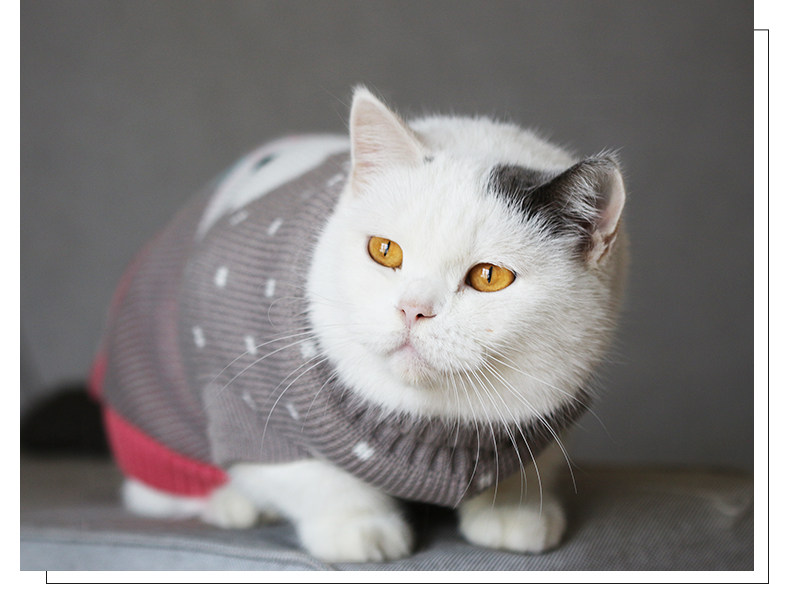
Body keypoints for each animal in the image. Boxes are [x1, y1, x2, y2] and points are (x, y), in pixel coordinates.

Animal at [91, 86, 627, 563]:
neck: (435, 425)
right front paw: (359, 526)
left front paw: (514, 510)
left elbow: (533, 463)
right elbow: (308, 474)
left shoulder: (552, 408)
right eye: (384, 250)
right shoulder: (240, 389)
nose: (413, 309)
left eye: (489, 276)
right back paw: (231, 503)